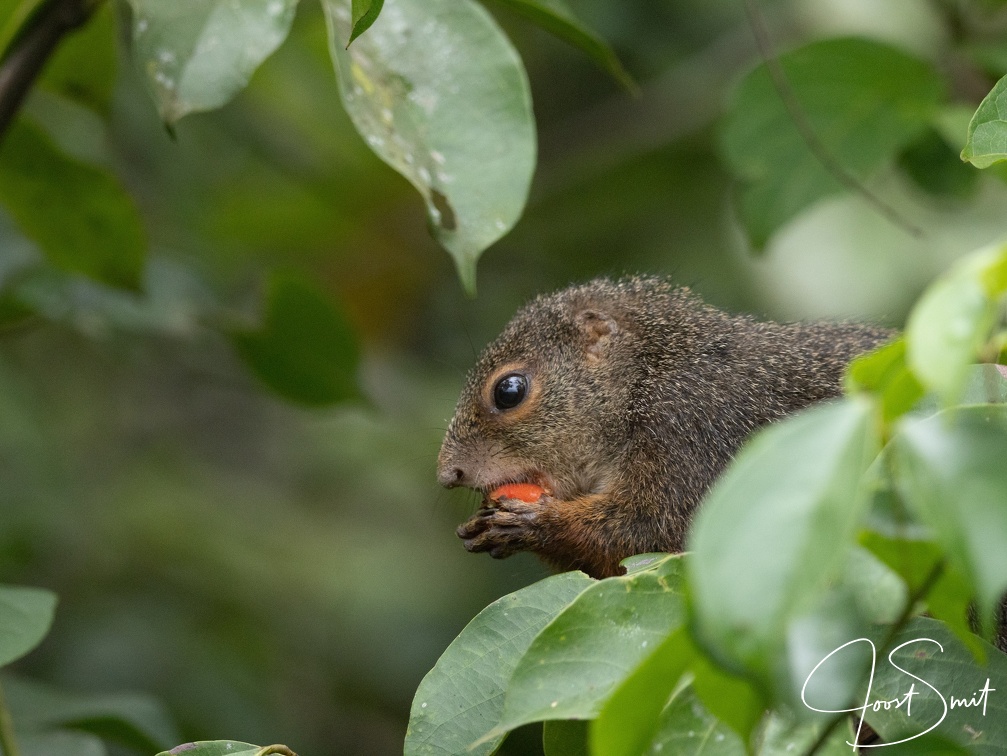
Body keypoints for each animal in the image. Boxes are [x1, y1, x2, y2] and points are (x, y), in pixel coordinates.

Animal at [437, 276, 894, 579]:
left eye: (509, 391)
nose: (447, 474)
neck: (647, 377)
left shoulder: (695, 425)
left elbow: (658, 530)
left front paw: (536, 525)